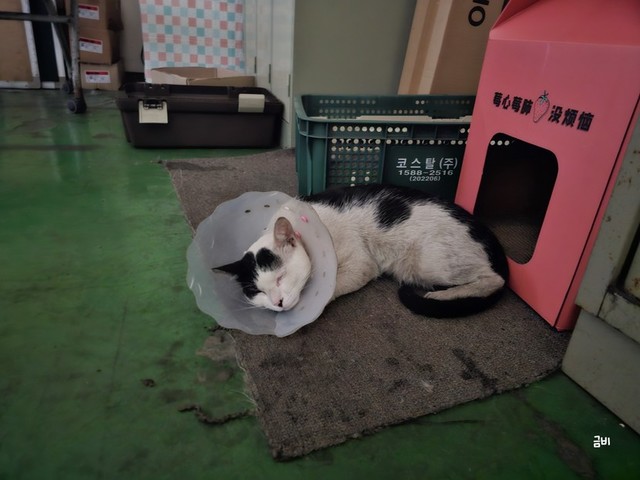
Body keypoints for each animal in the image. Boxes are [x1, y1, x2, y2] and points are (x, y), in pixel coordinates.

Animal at [215, 184, 509, 318]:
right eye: (258, 292)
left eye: (280, 277)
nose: (276, 302)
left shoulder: (360, 264)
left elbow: (334, 285)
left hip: (431, 261)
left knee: (494, 280)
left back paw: (443, 296)